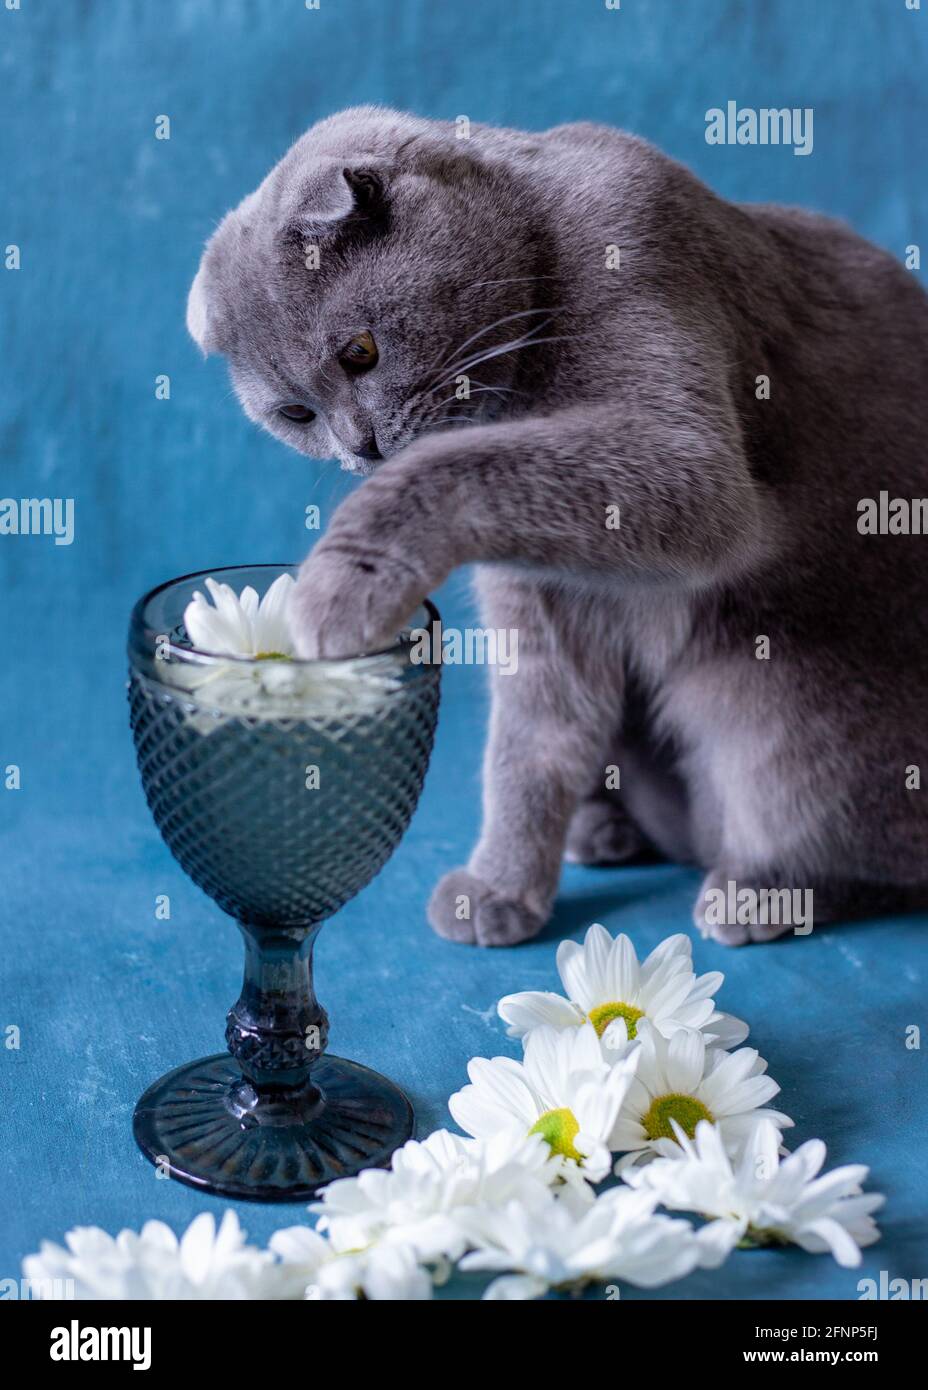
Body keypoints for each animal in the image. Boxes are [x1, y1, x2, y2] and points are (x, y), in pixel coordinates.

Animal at [186, 105, 928, 945]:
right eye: (295, 414)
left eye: (360, 352)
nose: (359, 448)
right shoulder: (536, 589)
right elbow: (531, 736)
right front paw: (500, 886)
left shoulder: (666, 372)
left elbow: (457, 467)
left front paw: (338, 588)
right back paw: (603, 831)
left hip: (780, 709)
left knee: (862, 847)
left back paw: (757, 891)